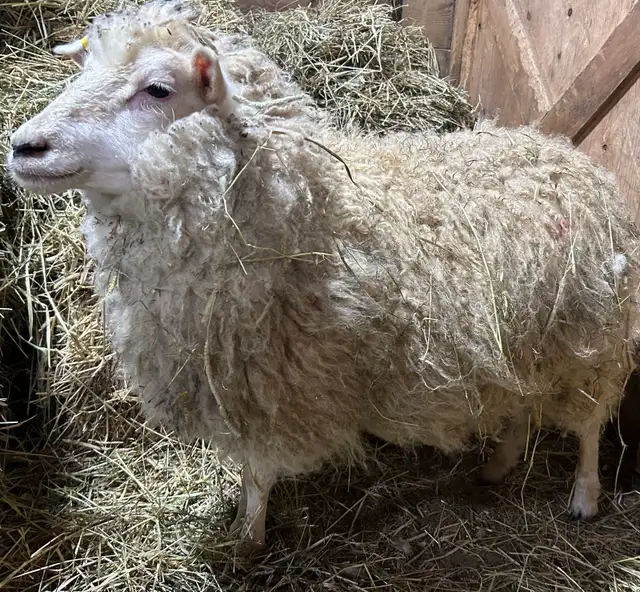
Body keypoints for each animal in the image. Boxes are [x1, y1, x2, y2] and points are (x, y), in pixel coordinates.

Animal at [6, 0, 640, 548]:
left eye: (158, 89)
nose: (23, 147)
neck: (305, 215)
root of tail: (574, 162)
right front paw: (243, 526)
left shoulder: (277, 391)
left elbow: (259, 473)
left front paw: (247, 538)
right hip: (529, 342)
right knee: (522, 406)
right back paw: (499, 465)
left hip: (591, 341)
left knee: (589, 424)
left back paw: (585, 497)